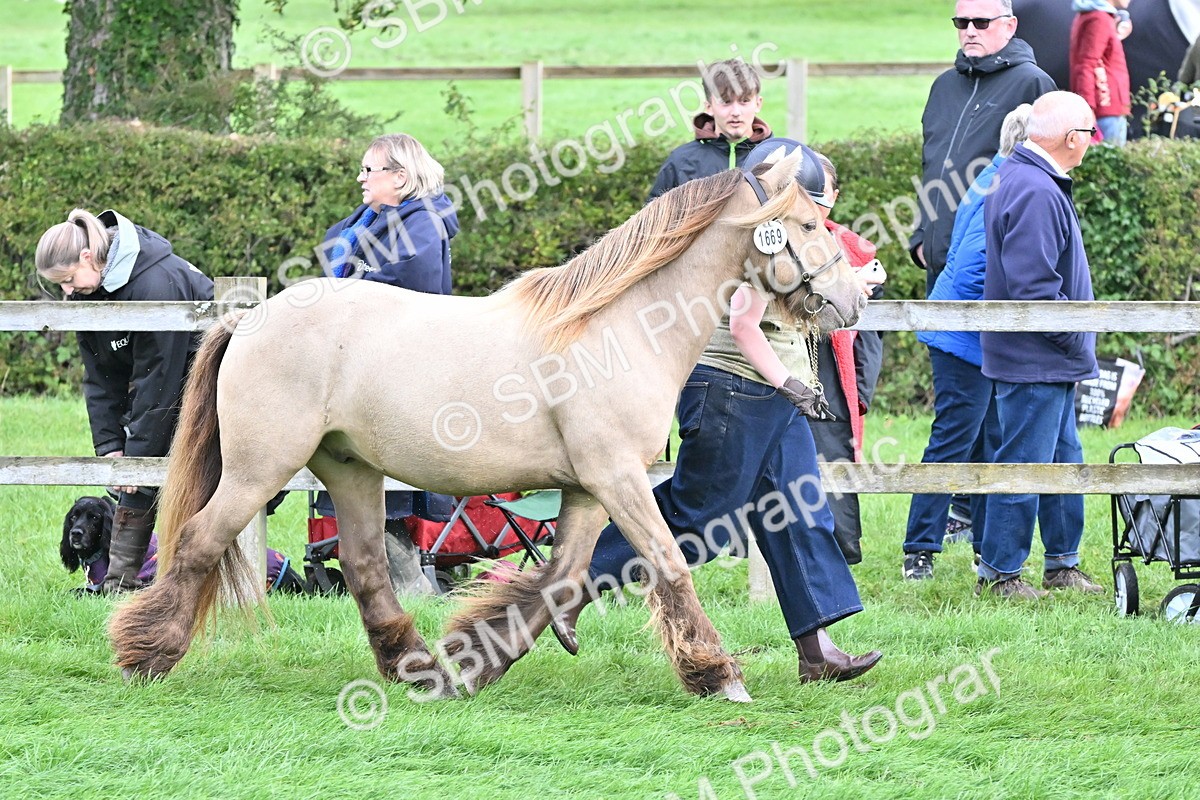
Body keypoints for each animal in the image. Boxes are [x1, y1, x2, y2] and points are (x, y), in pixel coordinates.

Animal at [108, 149, 866, 702]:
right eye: (806, 226)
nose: (856, 297)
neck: (619, 327)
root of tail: (248, 318)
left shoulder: (587, 488)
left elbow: (562, 577)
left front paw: (477, 661)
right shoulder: (617, 476)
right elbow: (668, 562)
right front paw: (718, 673)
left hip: (349, 469)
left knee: (364, 566)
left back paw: (420, 671)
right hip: (258, 469)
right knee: (199, 541)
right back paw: (147, 654)